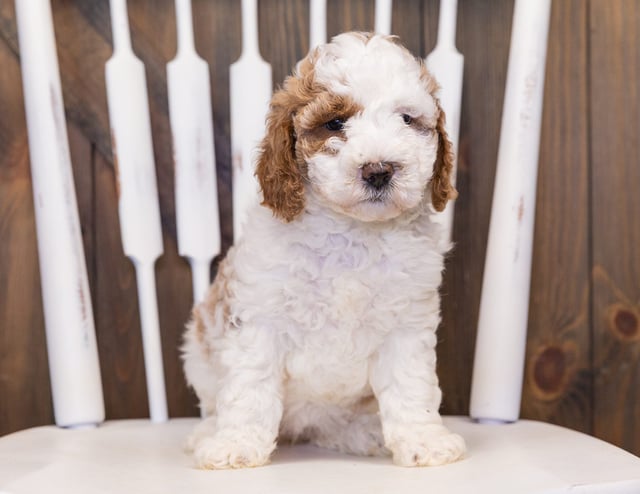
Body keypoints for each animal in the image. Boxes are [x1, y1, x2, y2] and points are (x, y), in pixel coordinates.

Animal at [182, 32, 468, 468]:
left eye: (406, 120)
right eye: (335, 123)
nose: (378, 170)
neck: (352, 233)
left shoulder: (405, 325)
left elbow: (410, 387)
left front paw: (424, 440)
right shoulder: (260, 319)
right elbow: (251, 387)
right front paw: (236, 444)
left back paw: (363, 433)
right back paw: (205, 434)